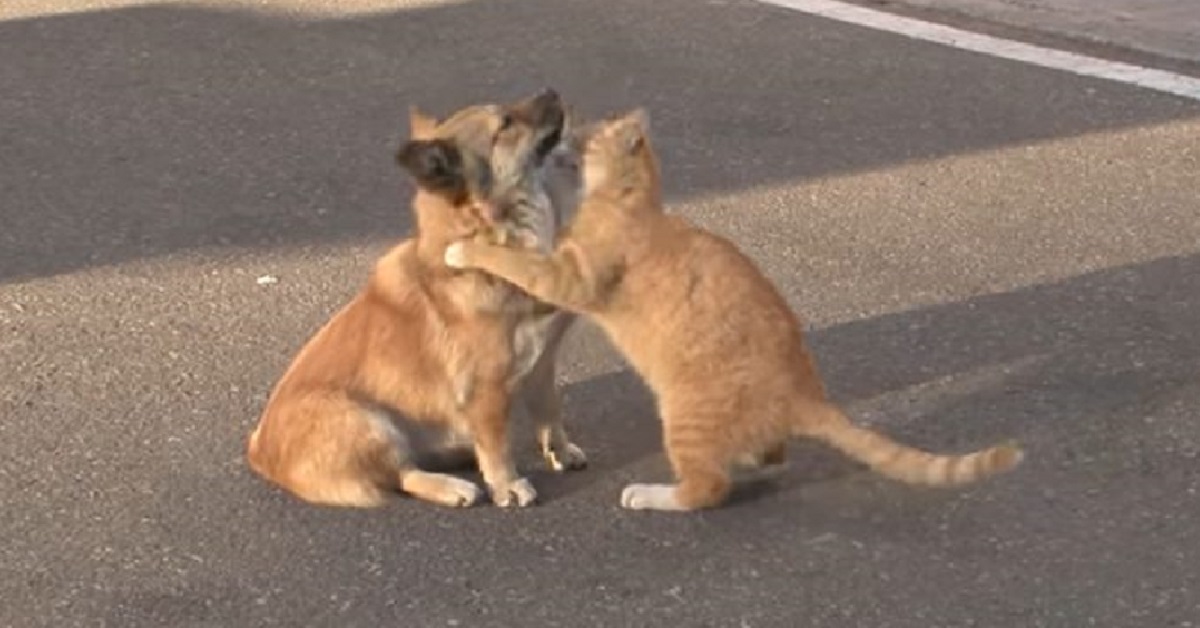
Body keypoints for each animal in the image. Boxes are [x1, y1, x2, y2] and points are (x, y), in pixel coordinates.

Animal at [246, 89, 583, 511]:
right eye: (505, 123)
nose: (552, 92)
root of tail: (258, 451)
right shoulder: (486, 389)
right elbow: (497, 446)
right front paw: (507, 485)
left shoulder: (542, 365)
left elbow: (550, 416)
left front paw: (561, 451)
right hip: (368, 421)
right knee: (402, 474)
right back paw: (452, 486)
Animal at [446, 110, 1027, 513]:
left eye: (587, 136)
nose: (562, 137)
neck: (629, 201)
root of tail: (806, 393)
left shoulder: (568, 277)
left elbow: (515, 258)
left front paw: (466, 246)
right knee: (768, 461)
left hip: (683, 413)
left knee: (707, 488)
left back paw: (652, 494)